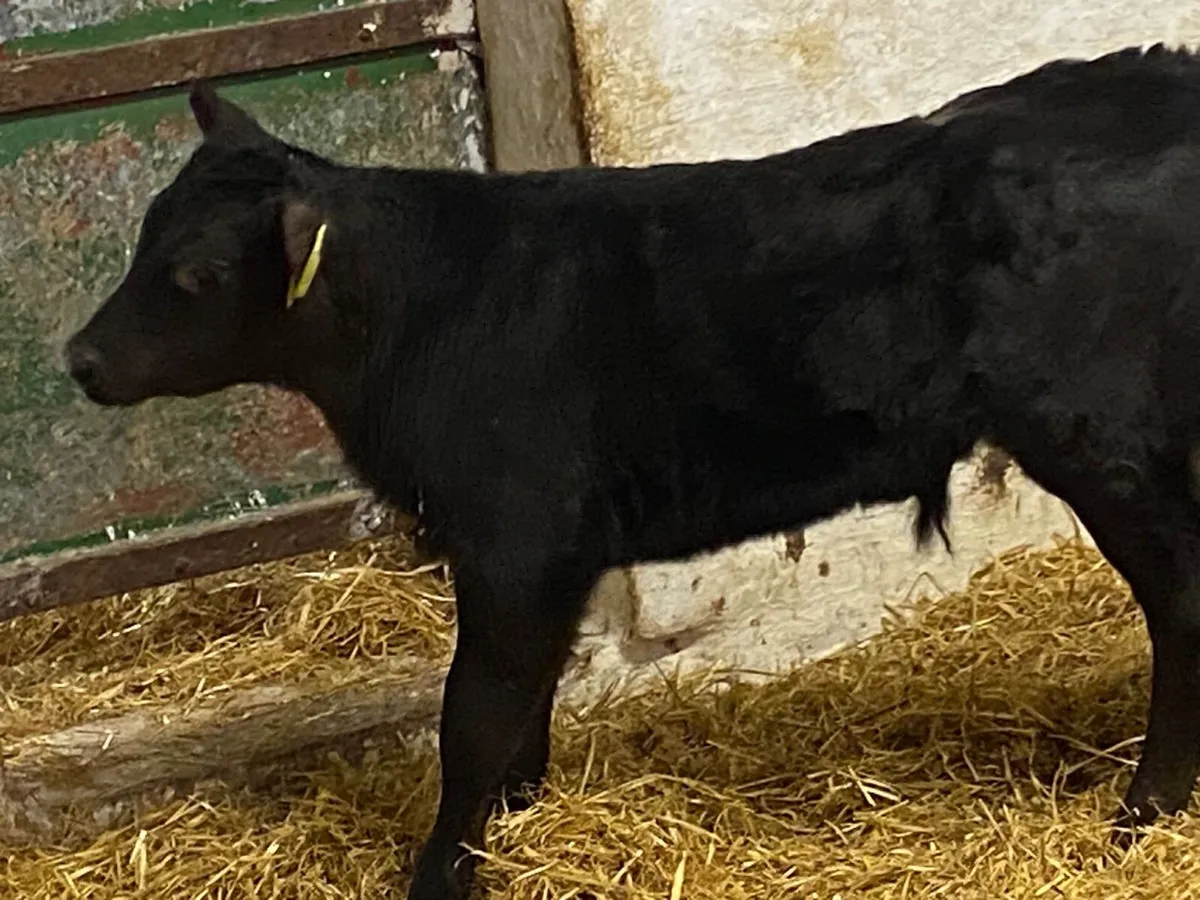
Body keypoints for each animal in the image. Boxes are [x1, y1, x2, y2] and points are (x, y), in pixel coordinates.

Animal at [65, 44, 1200, 900]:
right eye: (143, 232)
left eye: (198, 273)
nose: (80, 358)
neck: (425, 310)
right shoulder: (551, 554)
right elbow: (523, 705)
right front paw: (518, 819)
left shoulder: (514, 540)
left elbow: (474, 714)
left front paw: (442, 874)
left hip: (1104, 443)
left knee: (1182, 607)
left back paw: (1144, 814)